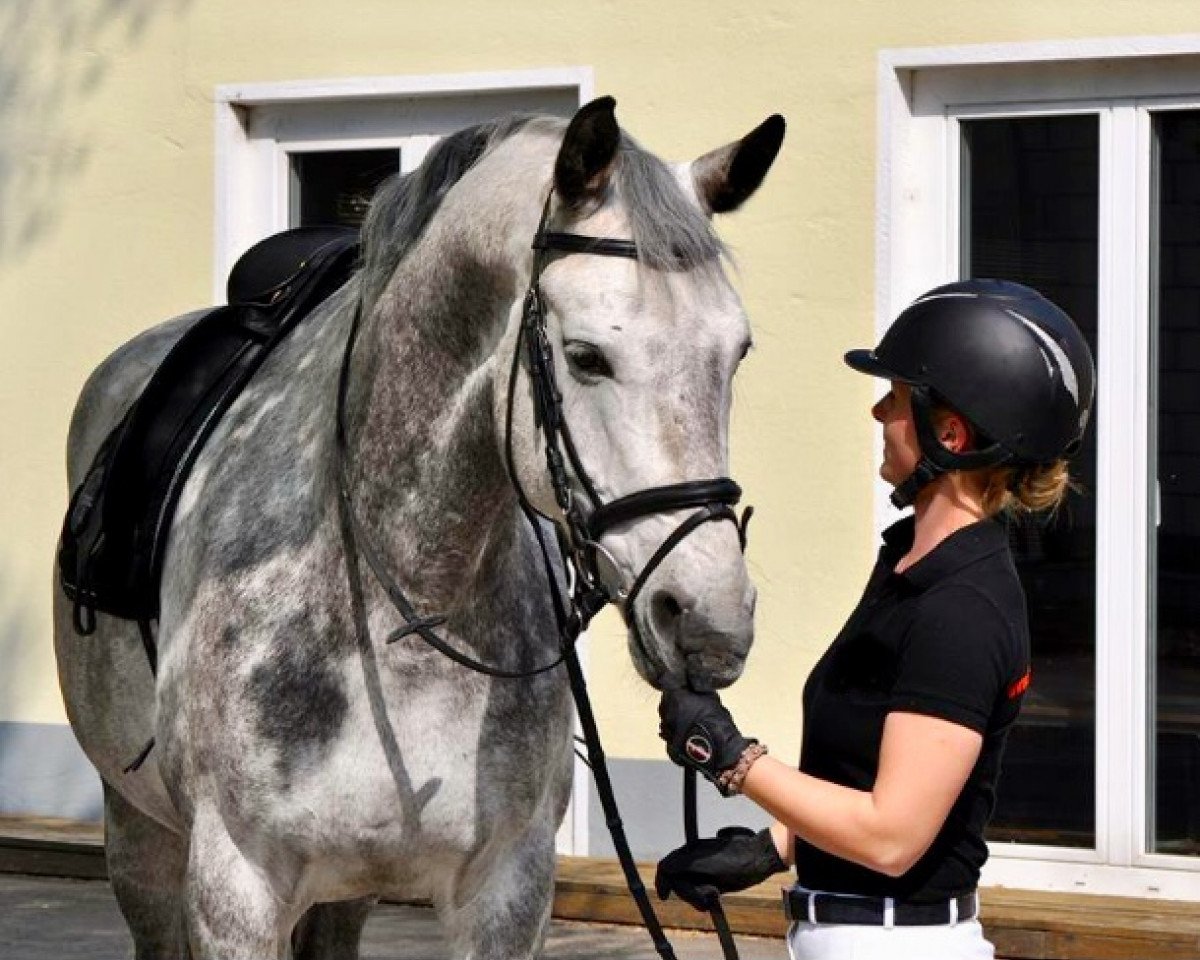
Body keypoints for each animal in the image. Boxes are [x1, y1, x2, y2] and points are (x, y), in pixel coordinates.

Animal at [53, 97, 784, 959]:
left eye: (736, 353)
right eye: (585, 356)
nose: (709, 622)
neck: (396, 601)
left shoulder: (506, 890)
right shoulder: (234, 893)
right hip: (139, 835)